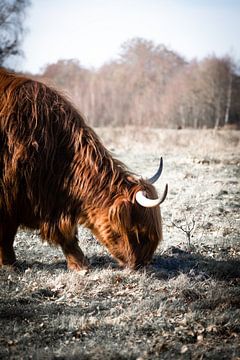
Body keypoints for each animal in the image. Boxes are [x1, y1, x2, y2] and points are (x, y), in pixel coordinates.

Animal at [0, 68, 167, 270]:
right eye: (138, 231)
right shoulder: (9, 196)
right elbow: (7, 232)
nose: (142, 264)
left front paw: (80, 264)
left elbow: (66, 235)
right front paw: (9, 263)